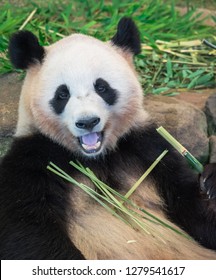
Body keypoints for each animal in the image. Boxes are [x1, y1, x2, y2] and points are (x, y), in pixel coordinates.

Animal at [0, 17, 216, 260]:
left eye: (102, 87)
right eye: (62, 94)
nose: (87, 122)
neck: (97, 158)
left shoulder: (147, 148)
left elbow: (190, 206)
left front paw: (210, 181)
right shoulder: (33, 160)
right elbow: (28, 233)